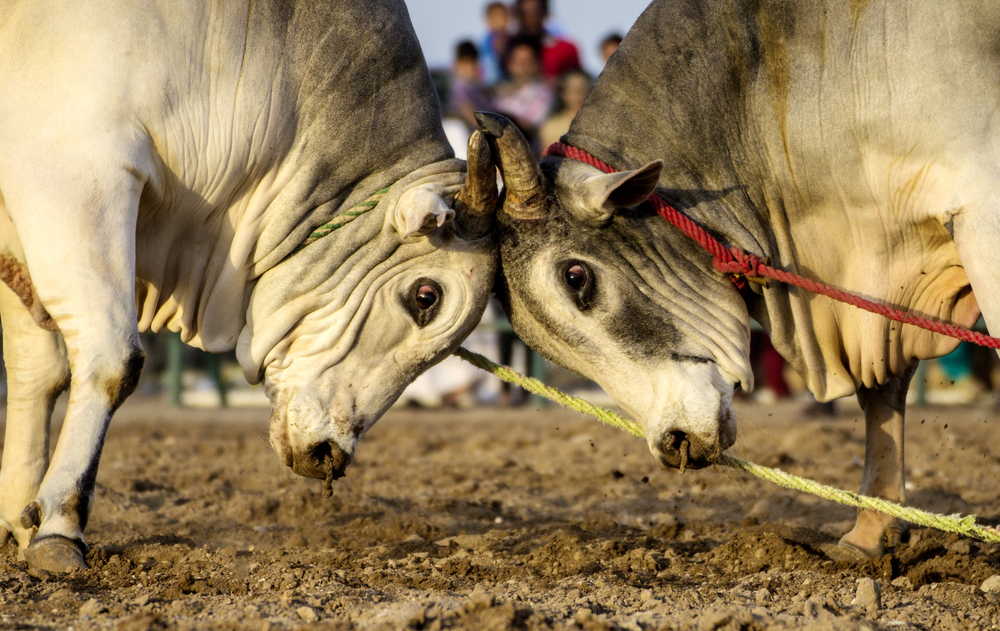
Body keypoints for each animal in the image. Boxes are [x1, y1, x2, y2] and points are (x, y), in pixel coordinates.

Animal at [0, 0, 500, 572]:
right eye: (426, 297)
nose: (330, 456)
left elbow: (40, 372)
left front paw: (22, 518)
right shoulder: (75, 173)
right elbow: (112, 362)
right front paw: (59, 526)